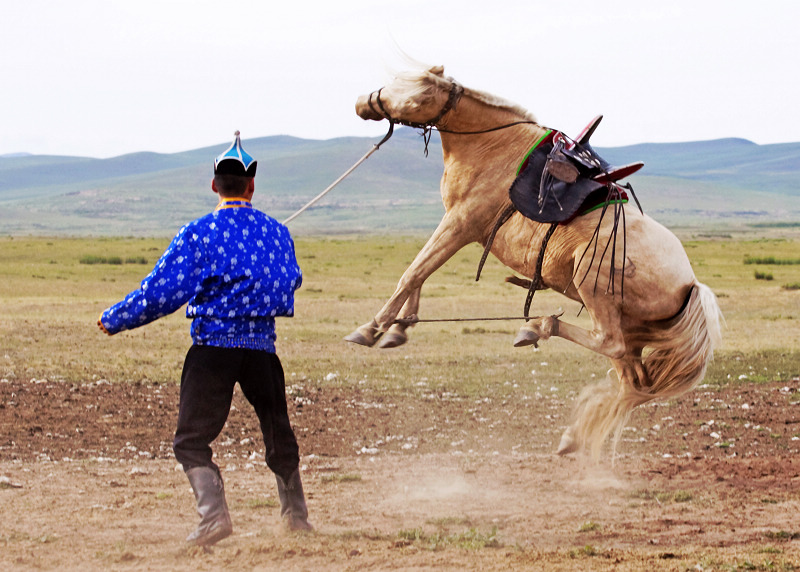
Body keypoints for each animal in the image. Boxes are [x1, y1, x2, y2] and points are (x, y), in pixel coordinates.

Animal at [346, 65, 720, 458]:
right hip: (630, 328)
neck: (492, 149)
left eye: (415, 93)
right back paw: (573, 436)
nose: (362, 103)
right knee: (635, 382)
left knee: (610, 346)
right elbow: (420, 273)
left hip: (593, 286)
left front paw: (372, 328)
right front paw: (399, 328)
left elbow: (413, 271)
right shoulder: (456, 225)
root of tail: (691, 284)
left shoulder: (460, 223)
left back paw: (538, 327)